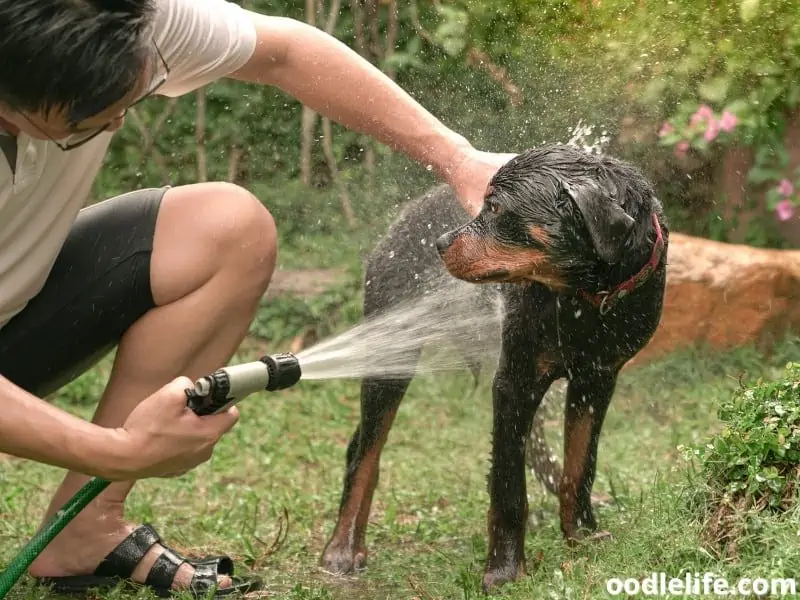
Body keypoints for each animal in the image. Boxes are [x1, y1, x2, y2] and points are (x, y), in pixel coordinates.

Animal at [318, 144, 668, 592]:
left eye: (497, 207)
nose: (440, 243)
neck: (584, 297)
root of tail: (402, 220)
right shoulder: (514, 382)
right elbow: (507, 488)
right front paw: (504, 570)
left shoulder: (597, 379)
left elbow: (581, 466)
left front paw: (582, 534)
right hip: (392, 352)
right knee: (365, 451)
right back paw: (343, 547)